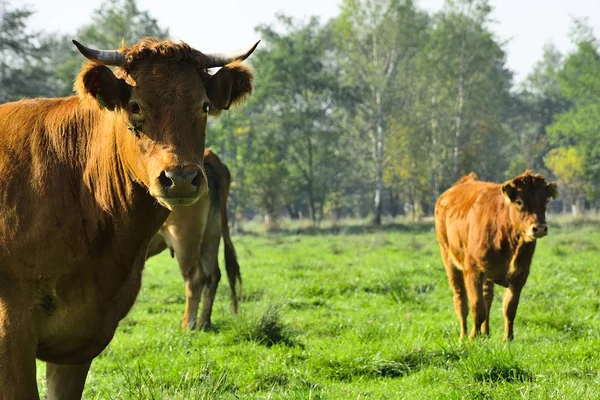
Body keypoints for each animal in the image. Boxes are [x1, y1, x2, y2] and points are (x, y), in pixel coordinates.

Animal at [146, 148, 240, 330]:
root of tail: (209, 154)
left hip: (184, 236)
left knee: (195, 278)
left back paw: (188, 325)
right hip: (211, 233)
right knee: (213, 275)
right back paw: (204, 323)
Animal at [434, 171, 560, 340]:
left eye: (545, 201)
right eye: (519, 202)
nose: (539, 228)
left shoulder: (520, 274)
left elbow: (509, 308)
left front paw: (508, 338)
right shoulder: (473, 270)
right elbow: (477, 307)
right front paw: (472, 337)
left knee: (487, 298)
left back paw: (486, 333)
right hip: (449, 259)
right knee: (460, 299)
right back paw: (463, 336)